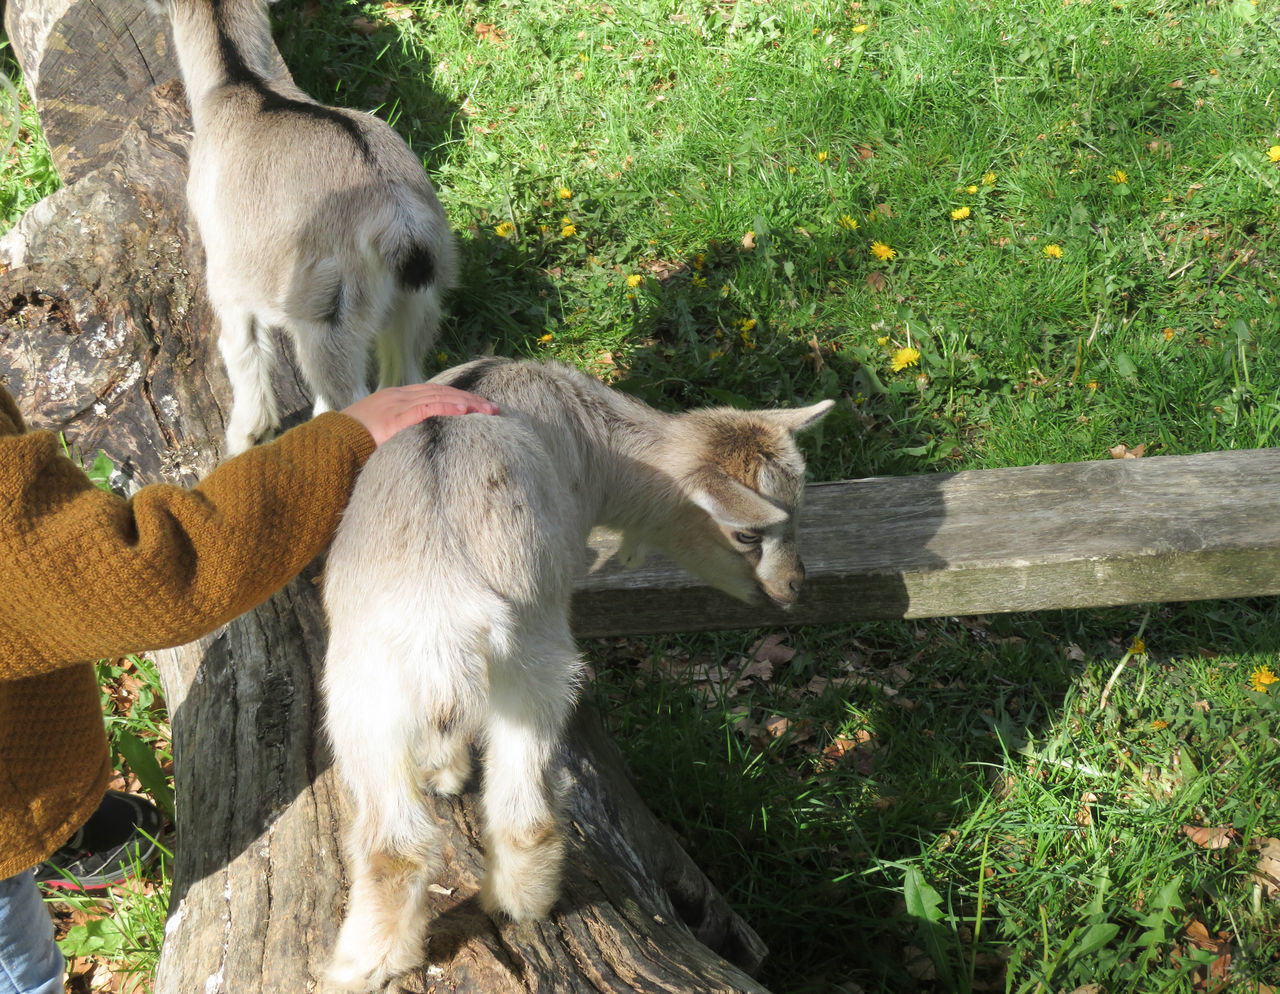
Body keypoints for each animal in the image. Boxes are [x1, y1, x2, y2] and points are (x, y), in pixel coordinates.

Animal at [163, 0, 455, 452]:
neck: (240, 83)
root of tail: (400, 217)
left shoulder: (227, 280)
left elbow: (242, 354)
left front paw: (247, 438)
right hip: (417, 303)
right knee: (404, 382)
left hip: (327, 321)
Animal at [320, 358, 829, 992]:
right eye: (747, 534)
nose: (795, 587)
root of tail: (441, 604)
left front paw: (442, 771)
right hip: (505, 668)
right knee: (504, 819)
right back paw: (500, 914)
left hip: (382, 688)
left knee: (414, 842)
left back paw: (374, 960)